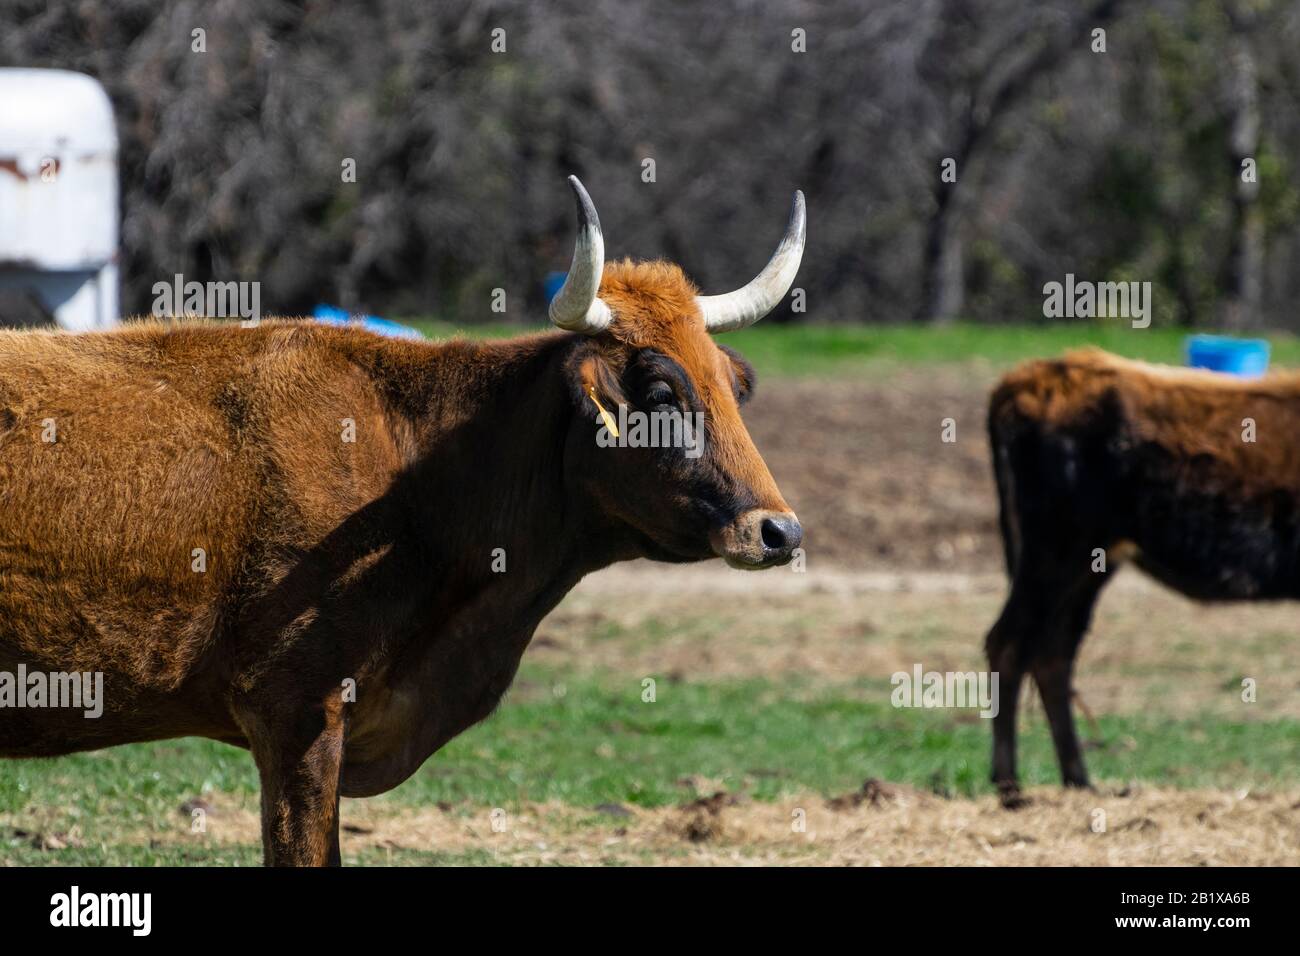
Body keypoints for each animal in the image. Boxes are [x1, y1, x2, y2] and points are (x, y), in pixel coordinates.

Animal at [982, 348, 1300, 806]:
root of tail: (1036, 374)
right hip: (1055, 551)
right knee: (1009, 644)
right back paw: (1011, 788)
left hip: (1089, 564)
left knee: (1051, 652)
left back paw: (1079, 781)